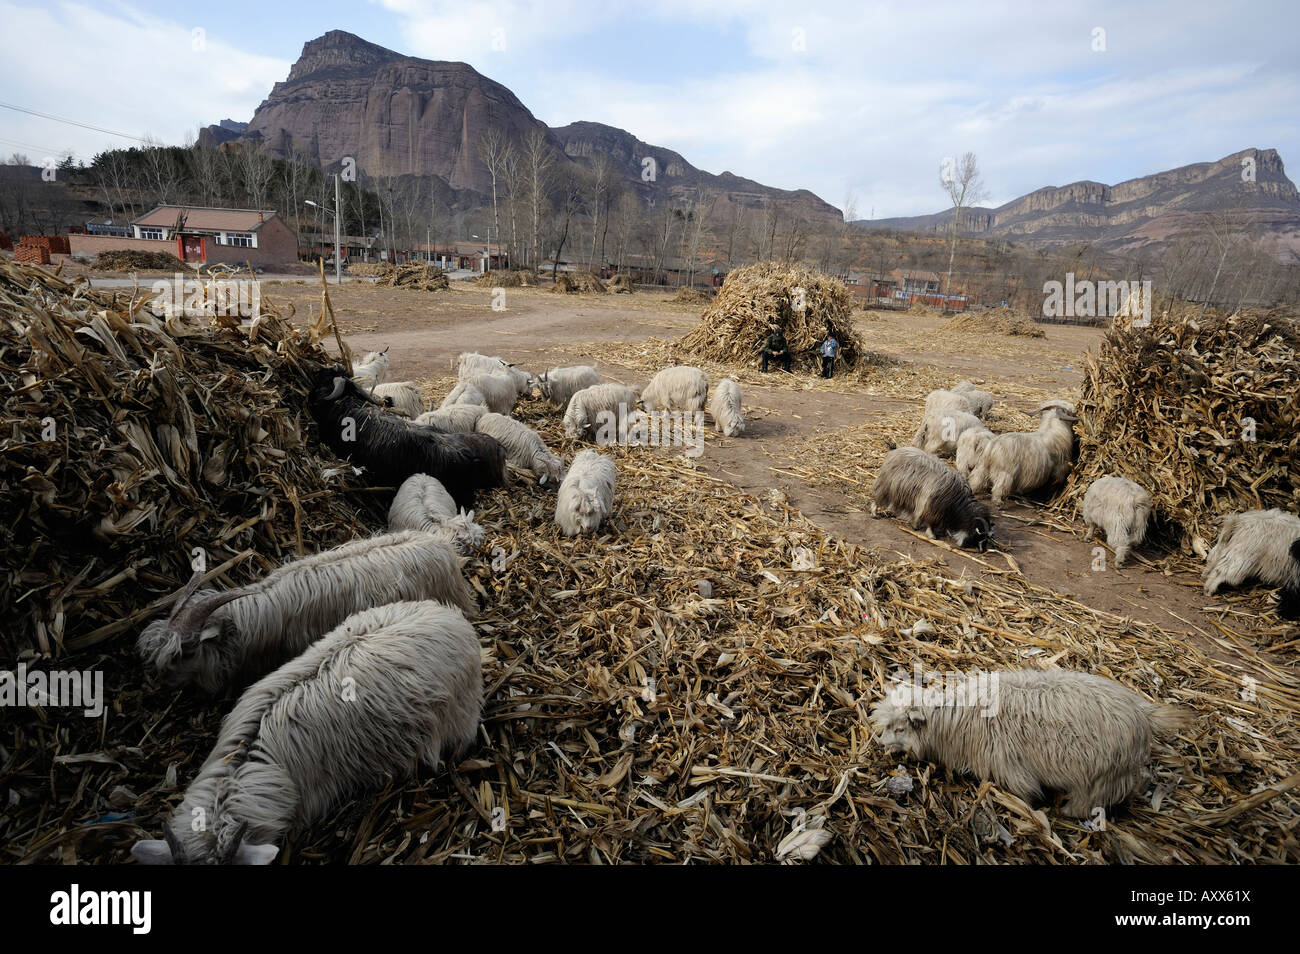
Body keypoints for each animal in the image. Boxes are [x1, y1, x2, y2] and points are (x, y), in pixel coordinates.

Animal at [873, 670, 1190, 816]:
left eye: (900, 728)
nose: (879, 743)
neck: (957, 722)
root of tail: (1144, 714)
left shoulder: (1008, 767)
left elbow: (1025, 792)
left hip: (1102, 777)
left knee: (1089, 801)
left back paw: (1068, 811)